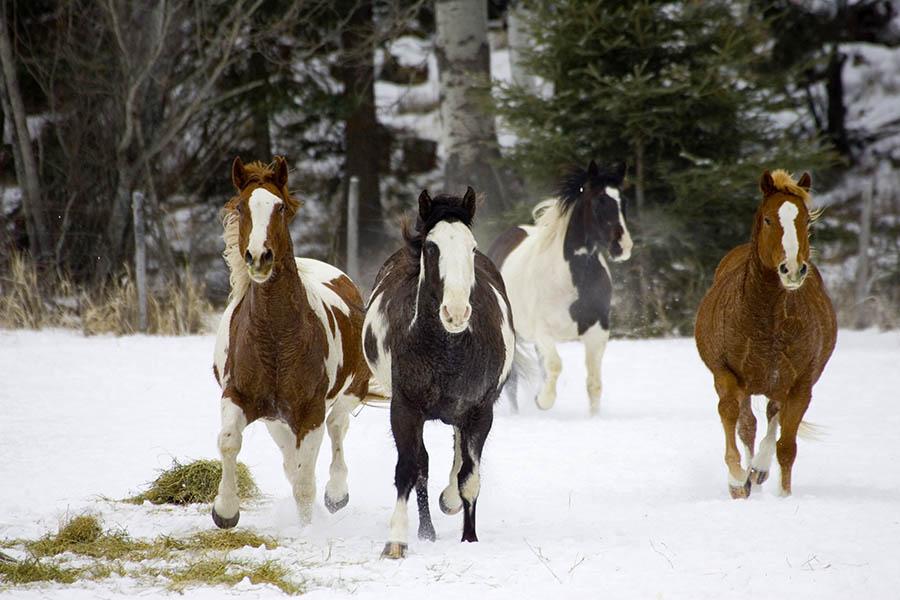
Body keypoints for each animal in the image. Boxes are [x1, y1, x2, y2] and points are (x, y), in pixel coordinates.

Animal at [211, 156, 370, 527]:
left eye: (279, 207)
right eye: (242, 206)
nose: (259, 257)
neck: (275, 339)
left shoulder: (310, 411)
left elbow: (304, 482)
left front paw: (307, 529)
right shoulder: (237, 395)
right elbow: (229, 442)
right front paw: (225, 510)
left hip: (350, 391)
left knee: (337, 428)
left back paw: (336, 494)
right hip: (275, 420)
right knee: (290, 458)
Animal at [363, 187, 516, 559]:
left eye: (471, 247)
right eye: (432, 247)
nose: (456, 312)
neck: (447, 349)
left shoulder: (479, 412)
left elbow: (469, 478)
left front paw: (469, 537)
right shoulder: (405, 409)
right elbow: (409, 469)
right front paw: (396, 542)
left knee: (458, 458)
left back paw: (448, 502)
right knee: (423, 465)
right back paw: (426, 530)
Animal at [488, 160, 632, 415]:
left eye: (623, 201)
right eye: (599, 201)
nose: (622, 247)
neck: (571, 279)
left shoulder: (598, 332)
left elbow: (594, 383)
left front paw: (594, 418)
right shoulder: (543, 332)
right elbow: (555, 365)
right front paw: (543, 401)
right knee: (512, 381)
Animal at [695, 169, 836, 499]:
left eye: (805, 221)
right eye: (770, 219)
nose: (792, 270)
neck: (768, 319)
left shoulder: (800, 385)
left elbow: (786, 446)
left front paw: (782, 493)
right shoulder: (726, 374)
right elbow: (732, 417)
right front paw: (737, 480)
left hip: (778, 383)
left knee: (773, 418)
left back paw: (759, 469)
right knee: (748, 425)